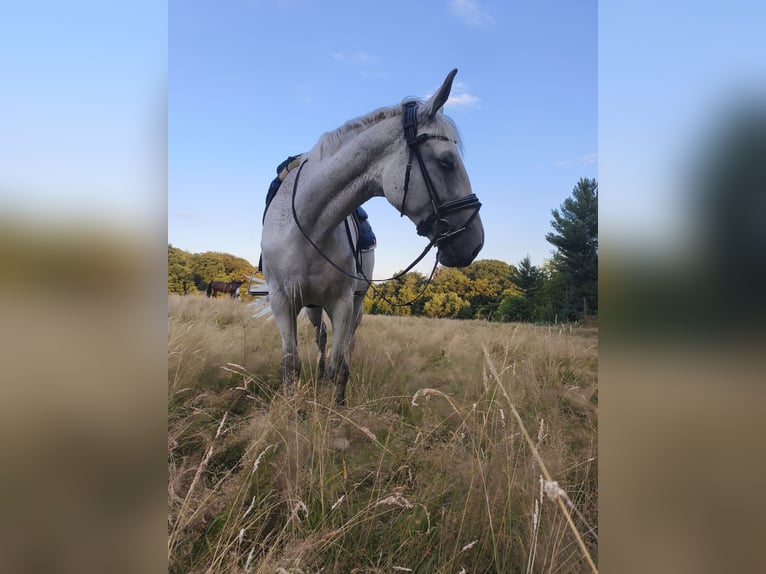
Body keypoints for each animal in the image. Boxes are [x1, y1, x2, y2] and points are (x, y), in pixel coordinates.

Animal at [260, 69, 484, 407]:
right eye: (447, 161)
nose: (475, 242)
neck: (308, 227)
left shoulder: (342, 302)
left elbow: (339, 366)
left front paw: (337, 409)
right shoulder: (282, 301)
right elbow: (290, 365)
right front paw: (291, 411)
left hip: (354, 304)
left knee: (345, 345)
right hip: (312, 306)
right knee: (320, 337)